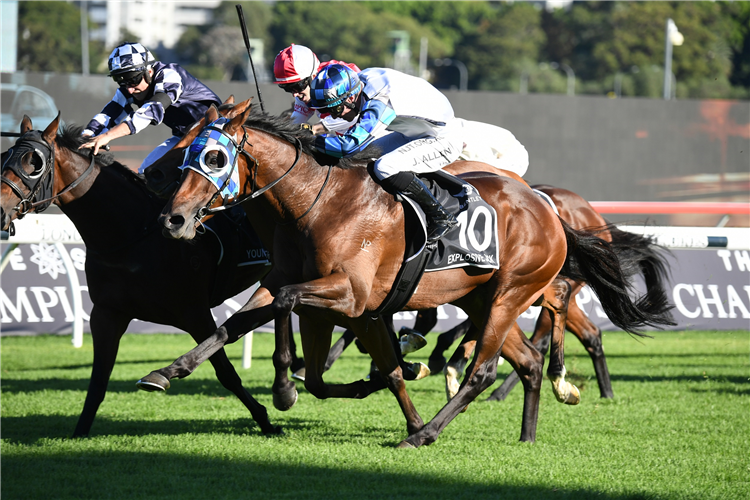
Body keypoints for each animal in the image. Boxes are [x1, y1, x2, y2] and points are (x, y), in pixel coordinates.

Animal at [0, 115, 282, 436]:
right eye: (3, 157)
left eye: (33, 163)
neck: (132, 236)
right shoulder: (106, 313)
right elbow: (98, 380)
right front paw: (79, 431)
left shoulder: (195, 312)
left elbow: (225, 369)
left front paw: (265, 419)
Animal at [137, 98, 676, 446]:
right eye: (186, 151)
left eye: (213, 155)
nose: (172, 218)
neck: (316, 203)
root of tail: (549, 208)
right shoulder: (290, 286)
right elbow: (232, 327)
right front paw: (165, 372)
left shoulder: (351, 296)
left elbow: (295, 310)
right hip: (480, 298)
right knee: (526, 360)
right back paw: (526, 434)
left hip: (510, 292)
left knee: (486, 367)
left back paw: (428, 433)